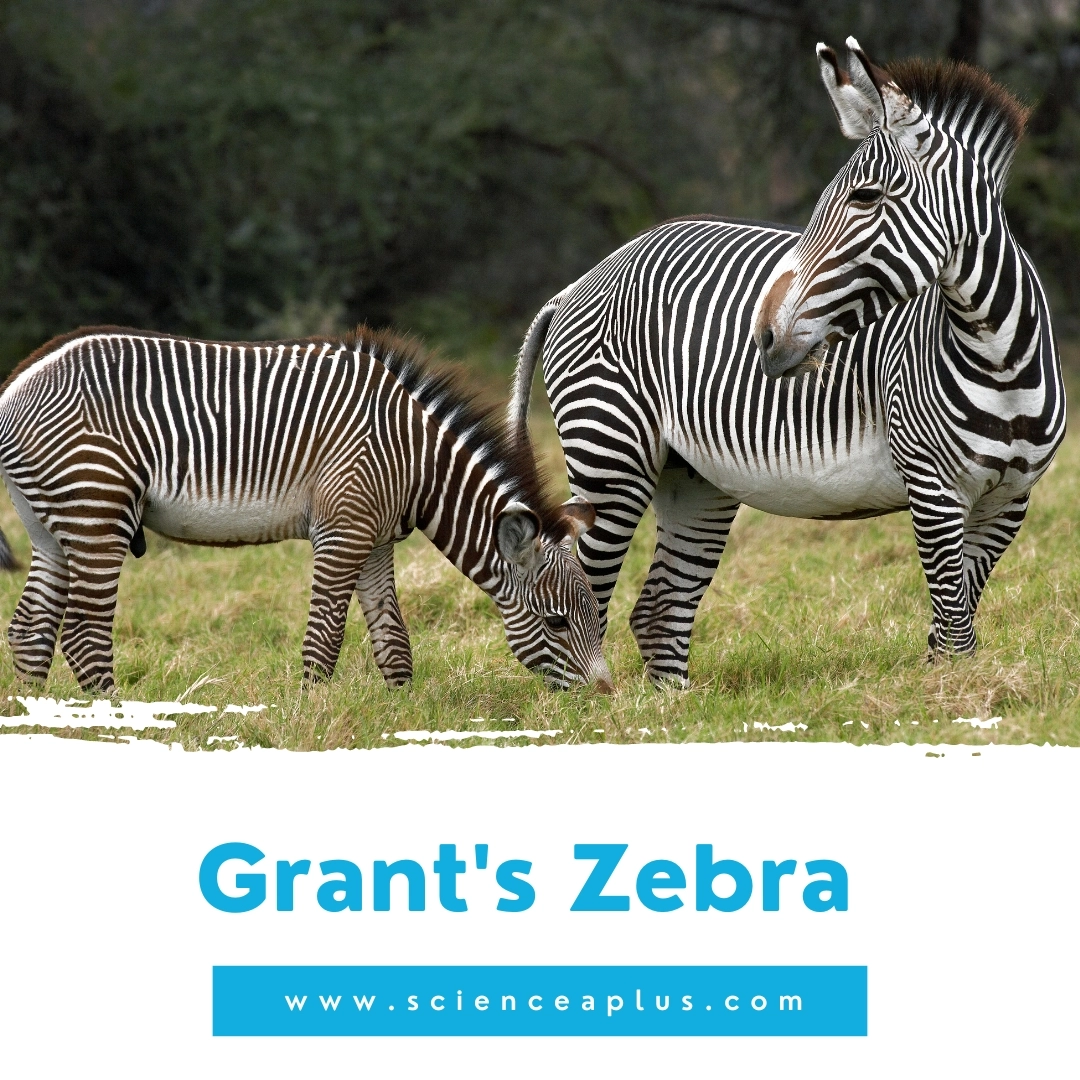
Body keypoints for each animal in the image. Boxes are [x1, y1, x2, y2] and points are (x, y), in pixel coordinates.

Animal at [0, 324, 613, 694]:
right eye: (557, 622)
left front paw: (402, 713)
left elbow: (394, 639)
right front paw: (310, 713)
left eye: (593, 617)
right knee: (83, 631)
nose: (605, 697)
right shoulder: (343, 529)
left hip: (51, 525)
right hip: (95, 507)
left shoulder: (375, 537)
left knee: (30, 628)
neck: (415, 458)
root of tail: (15, 384)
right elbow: (326, 637)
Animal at [510, 40, 1065, 687]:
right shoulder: (934, 489)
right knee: (585, 597)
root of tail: (585, 279)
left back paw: (672, 705)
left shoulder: (1010, 501)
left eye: (865, 198)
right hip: (609, 454)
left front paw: (954, 691)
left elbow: (956, 623)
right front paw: (950, 697)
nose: (765, 336)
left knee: (659, 608)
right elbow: (953, 625)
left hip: (694, 476)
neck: (1001, 362)